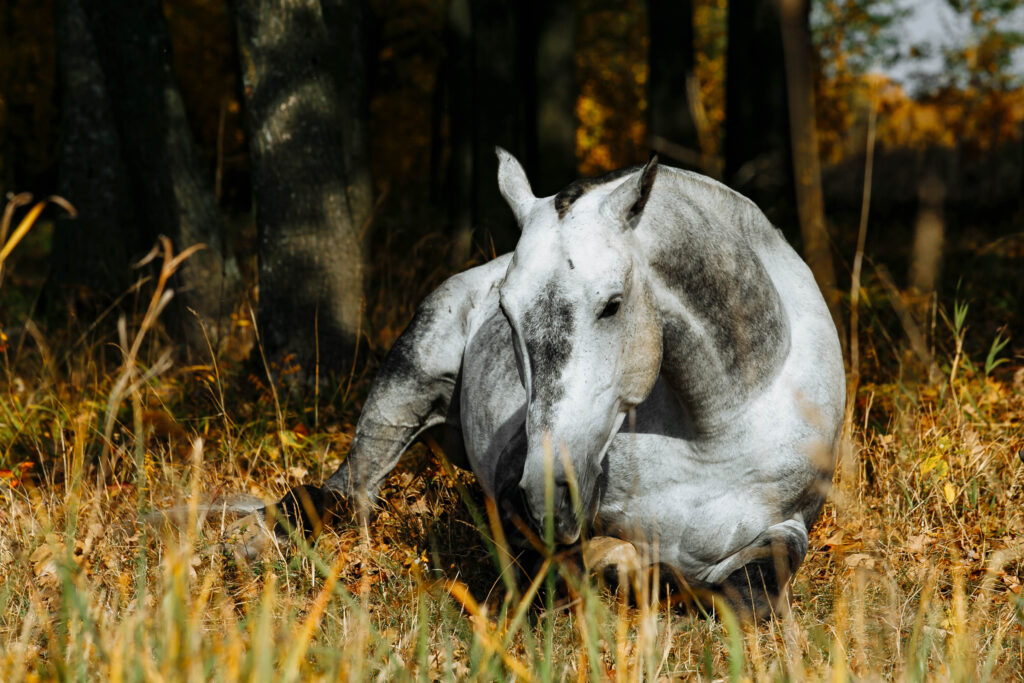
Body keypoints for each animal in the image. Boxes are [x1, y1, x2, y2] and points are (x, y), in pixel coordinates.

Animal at [269, 149, 845, 620]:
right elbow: (577, 566)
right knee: (345, 495)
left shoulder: (789, 526)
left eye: (612, 304)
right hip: (397, 403)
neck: (713, 427)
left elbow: (745, 594)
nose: (549, 496)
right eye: (506, 312)